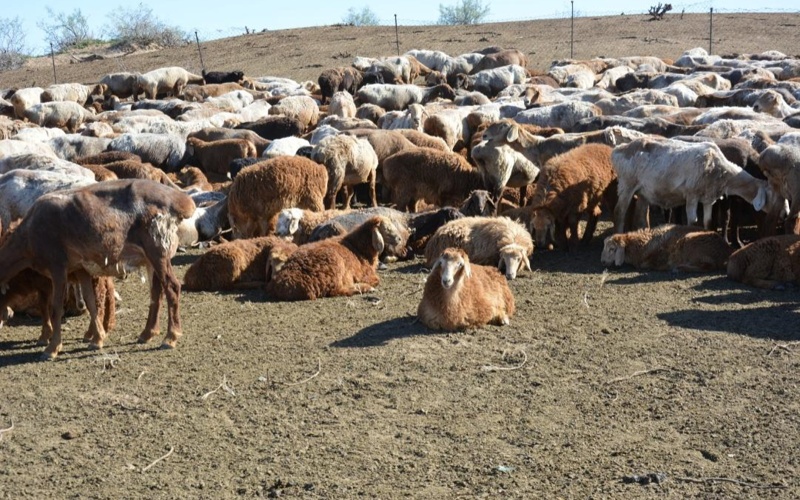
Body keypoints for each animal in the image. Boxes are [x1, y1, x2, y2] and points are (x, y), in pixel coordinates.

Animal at [0, 179, 195, 359]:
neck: (27, 240)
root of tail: (182, 201)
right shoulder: (79, 269)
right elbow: (90, 301)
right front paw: (97, 339)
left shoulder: (58, 267)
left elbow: (56, 307)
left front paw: (52, 348)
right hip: (150, 256)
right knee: (156, 291)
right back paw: (147, 333)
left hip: (158, 248)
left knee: (172, 287)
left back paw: (170, 337)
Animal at [266, 216, 405, 301]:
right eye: (387, 229)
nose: (399, 239)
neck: (358, 246)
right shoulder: (365, 274)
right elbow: (376, 280)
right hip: (335, 267)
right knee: (336, 290)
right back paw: (363, 288)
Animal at [601, 224, 732, 272]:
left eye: (612, 249)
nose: (602, 262)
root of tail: (725, 252)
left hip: (691, 243)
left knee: (708, 266)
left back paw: (680, 267)